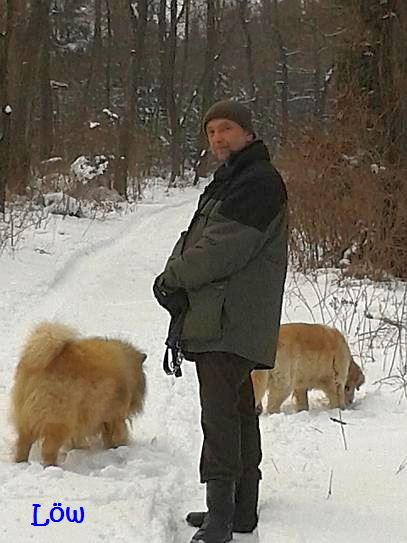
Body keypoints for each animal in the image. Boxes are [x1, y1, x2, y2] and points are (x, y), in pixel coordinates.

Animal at [10, 324, 147, 468]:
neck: (128, 372)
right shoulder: (114, 417)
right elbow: (116, 436)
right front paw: (118, 448)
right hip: (58, 420)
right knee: (48, 449)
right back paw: (52, 466)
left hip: (26, 420)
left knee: (23, 444)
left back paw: (21, 463)